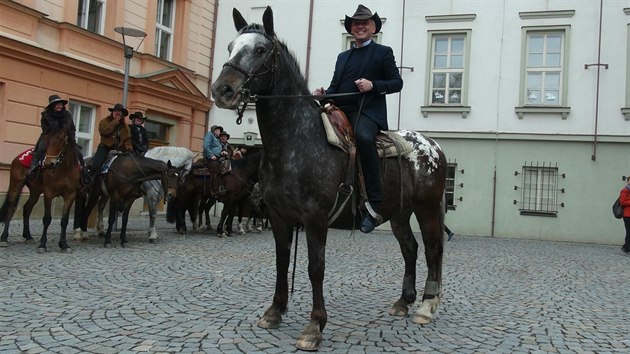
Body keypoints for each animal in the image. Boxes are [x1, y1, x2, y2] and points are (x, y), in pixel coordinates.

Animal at [212, 6, 450, 350]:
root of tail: (433, 146)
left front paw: (314, 326)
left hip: (428, 209)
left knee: (433, 249)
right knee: (410, 248)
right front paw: (274, 311)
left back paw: (427, 307)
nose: (223, 90)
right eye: (231, 47)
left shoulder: (315, 219)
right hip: (399, 213)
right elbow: (281, 261)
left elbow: (316, 268)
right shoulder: (279, 217)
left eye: (260, 50)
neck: (294, 141)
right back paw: (403, 302)